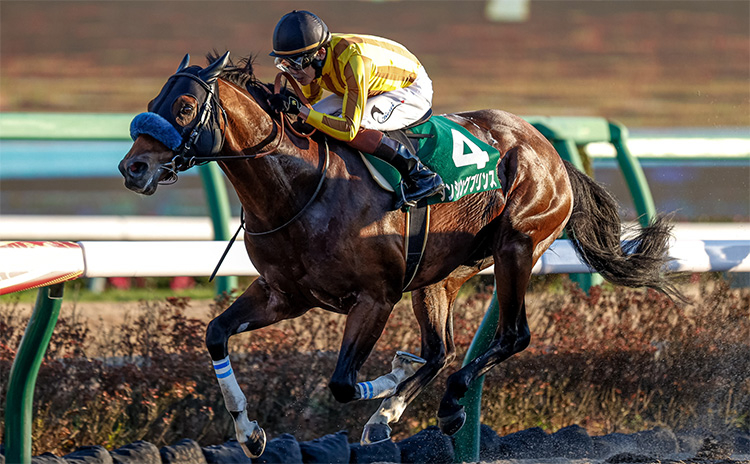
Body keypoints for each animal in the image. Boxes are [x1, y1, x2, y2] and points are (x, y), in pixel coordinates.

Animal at [119, 50, 680, 456]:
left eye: (185, 107)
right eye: (155, 99)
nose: (132, 168)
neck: (300, 188)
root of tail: (548, 149)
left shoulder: (375, 298)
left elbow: (344, 383)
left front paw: (388, 377)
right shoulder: (284, 294)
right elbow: (215, 334)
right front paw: (248, 432)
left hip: (516, 246)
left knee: (511, 335)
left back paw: (447, 404)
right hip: (442, 275)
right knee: (440, 349)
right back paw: (394, 413)